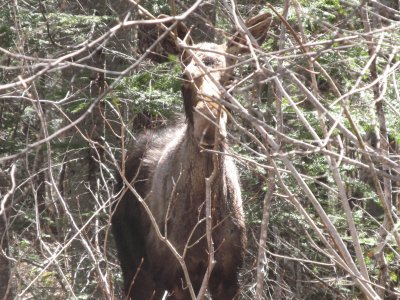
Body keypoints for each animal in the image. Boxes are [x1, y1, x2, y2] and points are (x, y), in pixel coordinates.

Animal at [112, 12, 272, 300]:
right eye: (186, 75)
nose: (208, 125)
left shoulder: (230, 276)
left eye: (231, 77)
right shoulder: (176, 275)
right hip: (135, 266)